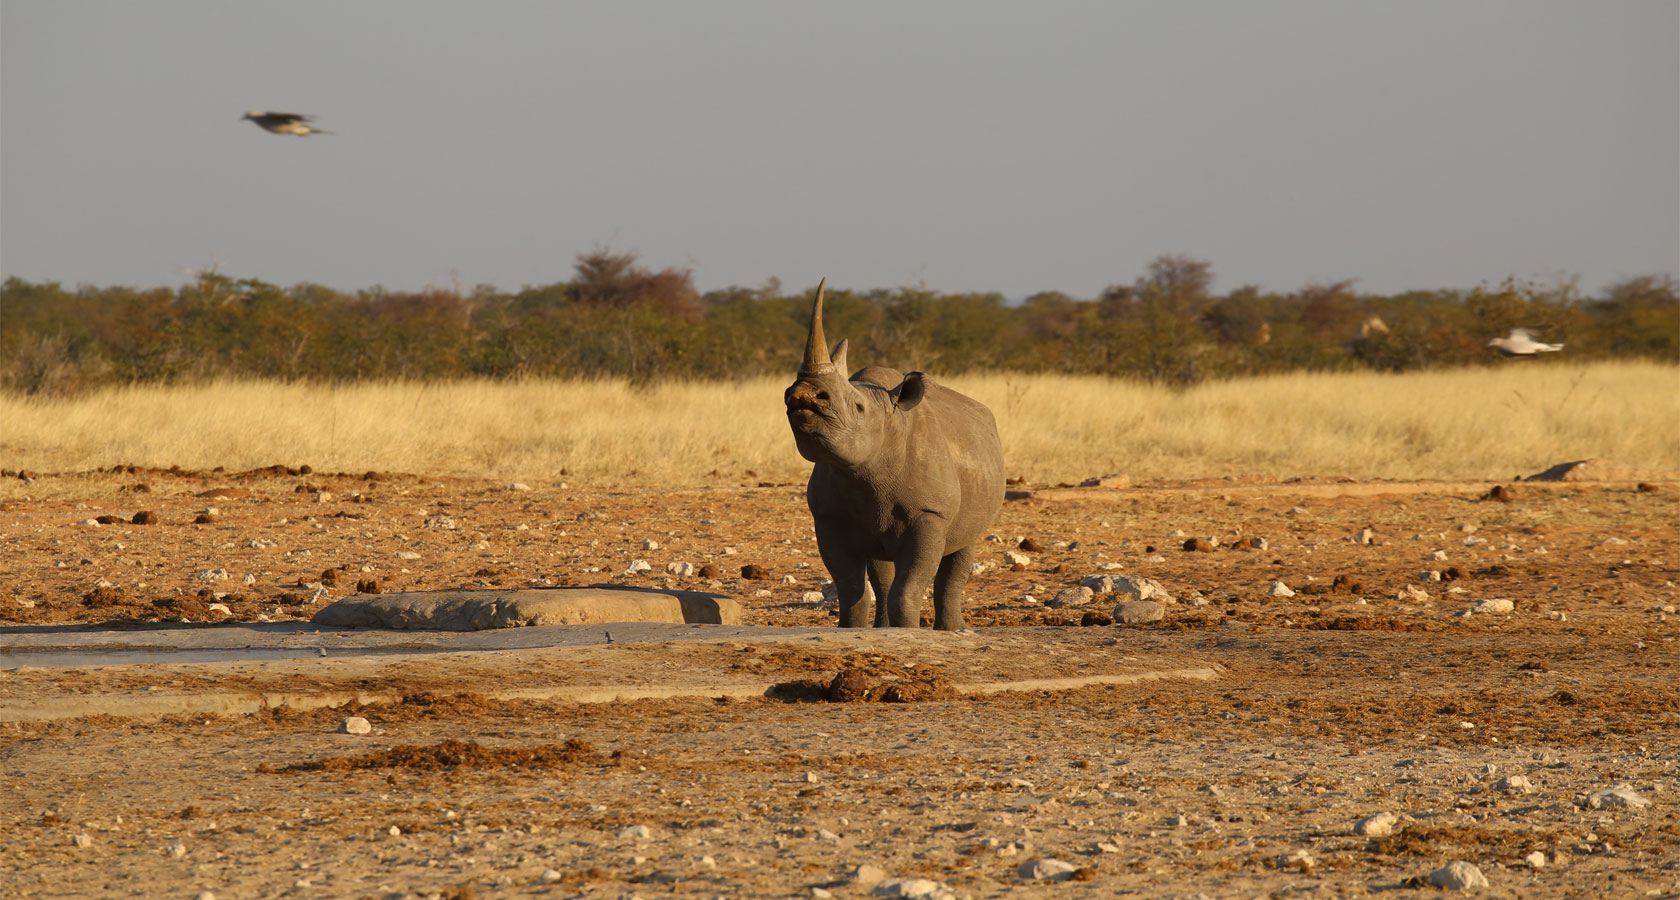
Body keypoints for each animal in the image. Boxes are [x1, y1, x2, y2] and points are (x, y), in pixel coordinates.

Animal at [784, 279, 1006, 630]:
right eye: (787, 395)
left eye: (859, 407)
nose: (802, 395)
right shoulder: (828, 516)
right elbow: (850, 588)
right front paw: (852, 630)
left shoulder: (930, 513)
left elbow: (908, 588)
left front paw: (909, 630)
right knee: (880, 568)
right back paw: (884, 627)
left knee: (962, 549)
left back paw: (954, 630)